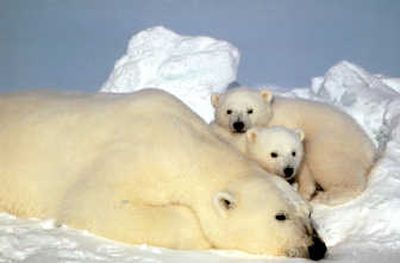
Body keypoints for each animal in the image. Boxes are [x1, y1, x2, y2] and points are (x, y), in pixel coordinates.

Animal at [211, 87, 376, 205]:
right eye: (229, 111)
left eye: (250, 110)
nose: (238, 124)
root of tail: (368, 147)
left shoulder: (285, 124)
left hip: (333, 141)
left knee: (332, 164)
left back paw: (328, 196)